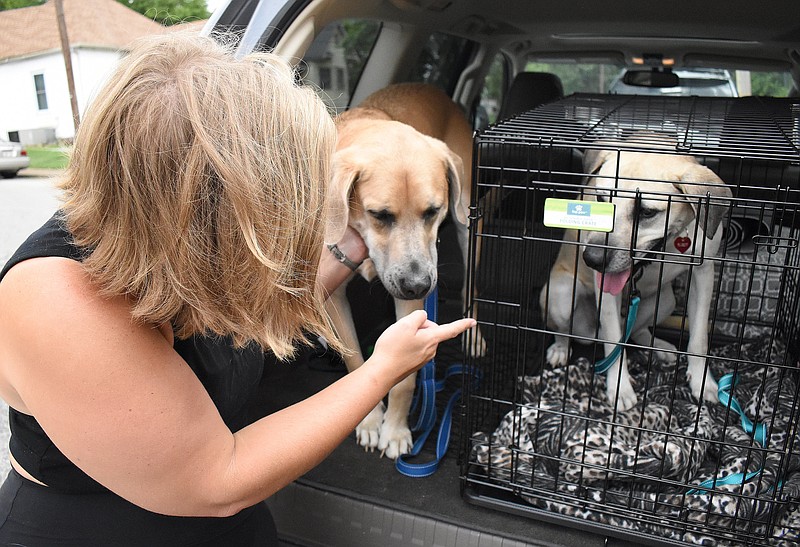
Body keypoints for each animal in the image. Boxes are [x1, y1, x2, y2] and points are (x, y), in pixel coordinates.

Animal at [324, 81, 482, 458]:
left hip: (468, 222)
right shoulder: (334, 294)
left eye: (432, 211)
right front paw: (369, 422)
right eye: (380, 215)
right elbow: (355, 361)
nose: (419, 285)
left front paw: (395, 430)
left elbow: (405, 381)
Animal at [544, 139, 732, 414]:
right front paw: (619, 387)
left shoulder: (703, 273)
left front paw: (702, 382)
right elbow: (613, 340)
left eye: (646, 212)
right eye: (601, 198)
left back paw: (659, 347)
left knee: (636, 331)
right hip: (561, 296)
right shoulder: (604, 291)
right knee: (564, 329)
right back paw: (560, 348)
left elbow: (698, 339)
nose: (592, 259)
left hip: (666, 301)